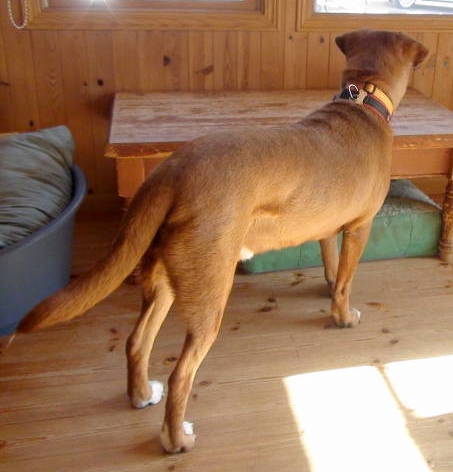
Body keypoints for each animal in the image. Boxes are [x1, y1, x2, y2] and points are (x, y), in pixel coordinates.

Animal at [18, 30, 428, 453]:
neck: (363, 98)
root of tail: (172, 172)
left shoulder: (328, 230)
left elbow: (333, 269)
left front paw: (329, 292)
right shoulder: (360, 227)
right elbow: (346, 281)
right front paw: (343, 316)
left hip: (164, 283)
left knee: (136, 342)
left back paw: (141, 395)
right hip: (209, 295)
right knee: (181, 375)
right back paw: (176, 439)